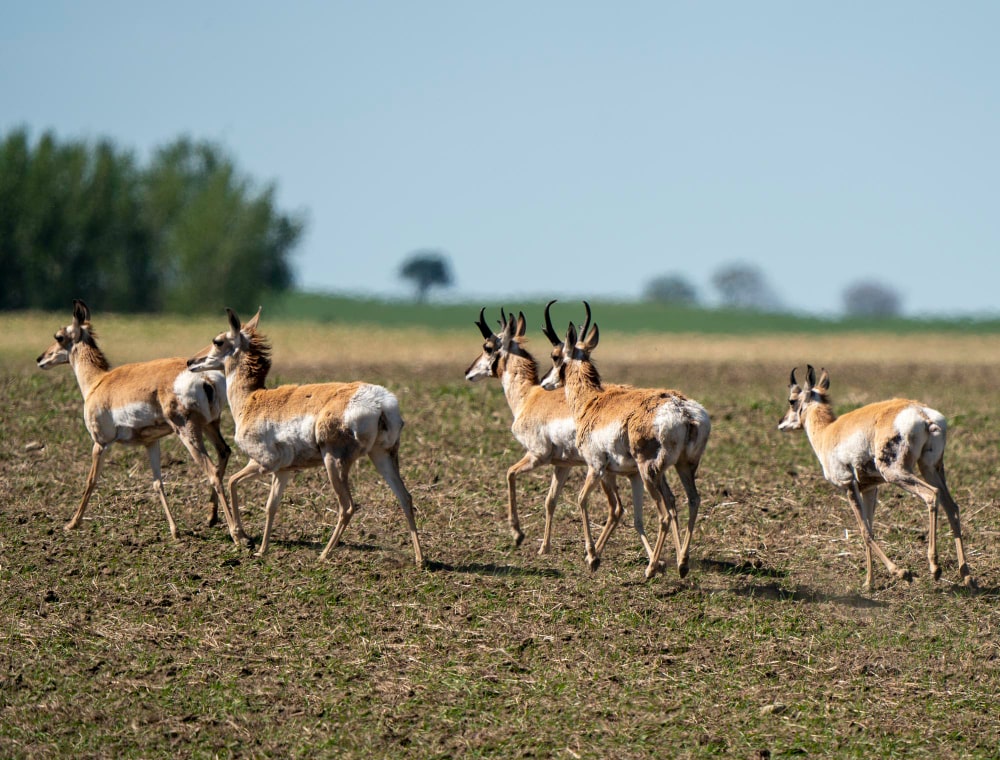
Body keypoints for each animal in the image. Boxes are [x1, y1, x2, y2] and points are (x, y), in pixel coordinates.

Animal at [36, 300, 243, 544]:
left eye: (59, 336)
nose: (40, 359)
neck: (98, 381)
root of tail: (205, 377)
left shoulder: (100, 443)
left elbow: (91, 480)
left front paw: (72, 524)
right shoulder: (151, 442)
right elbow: (157, 482)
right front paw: (175, 530)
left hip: (188, 431)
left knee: (212, 472)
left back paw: (237, 534)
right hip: (210, 425)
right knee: (224, 453)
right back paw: (212, 518)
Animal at [186, 308, 424, 564]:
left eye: (218, 341)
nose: (190, 362)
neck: (252, 399)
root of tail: (380, 402)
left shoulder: (264, 463)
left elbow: (232, 481)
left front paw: (243, 538)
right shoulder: (283, 471)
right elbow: (270, 506)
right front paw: (262, 550)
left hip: (334, 462)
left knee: (347, 506)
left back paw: (323, 555)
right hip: (382, 456)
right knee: (405, 497)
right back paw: (420, 559)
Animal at [464, 308, 620, 552]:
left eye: (487, 346)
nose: (468, 372)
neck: (530, 395)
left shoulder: (537, 455)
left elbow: (509, 473)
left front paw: (518, 534)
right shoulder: (562, 465)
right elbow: (550, 501)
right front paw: (544, 547)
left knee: (616, 508)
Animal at [544, 300, 716, 580]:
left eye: (555, 355)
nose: (544, 382)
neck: (593, 401)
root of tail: (683, 410)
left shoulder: (596, 467)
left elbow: (584, 500)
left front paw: (592, 557)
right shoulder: (623, 473)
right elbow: (625, 512)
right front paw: (594, 556)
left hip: (649, 472)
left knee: (665, 513)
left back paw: (650, 569)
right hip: (681, 467)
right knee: (689, 501)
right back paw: (681, 563)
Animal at [776, 366, 972, 592]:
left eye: (792, 400)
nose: (781, 423)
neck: (828, 431)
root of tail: (921, 413)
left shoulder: (848, 485)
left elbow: (864, 531)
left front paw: (901, 573)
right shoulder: (869, 489)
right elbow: (870, 529)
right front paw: (869, 582)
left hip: (897, 473)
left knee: (932, 495)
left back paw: (935, 567)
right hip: (931, 468)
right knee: (952, 506)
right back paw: (967, 576)